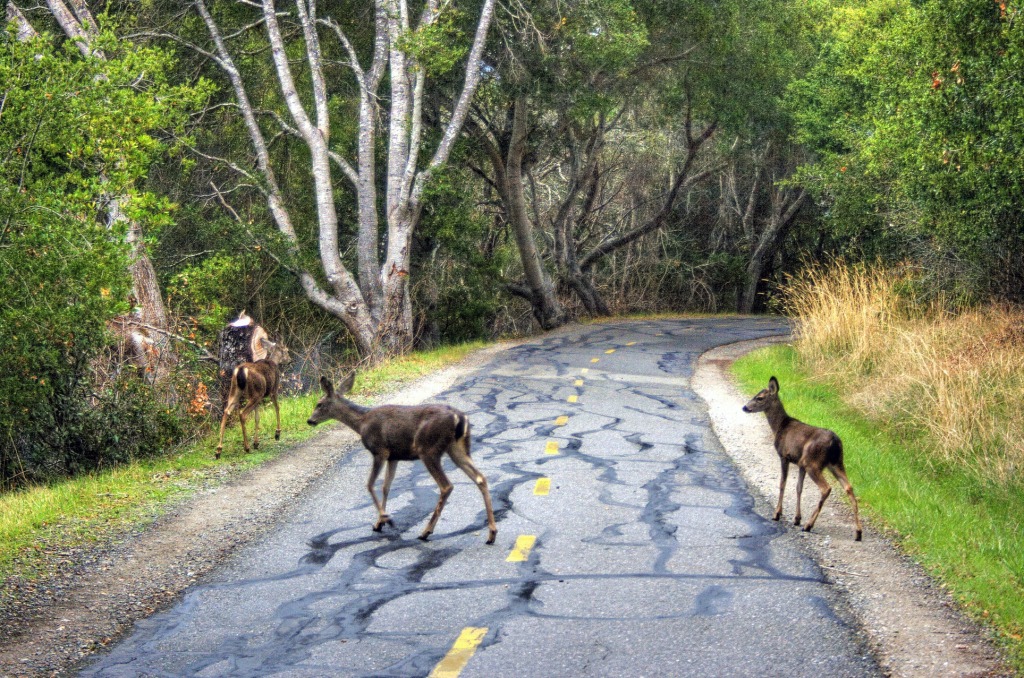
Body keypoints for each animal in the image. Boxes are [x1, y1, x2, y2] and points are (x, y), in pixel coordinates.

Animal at [305, 376, 497, 548]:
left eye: (319, 404)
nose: (309, 420)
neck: (362, 422)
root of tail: (460, 418)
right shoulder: (393, 456)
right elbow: (386, 487)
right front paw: (379, 523)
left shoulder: (380, 450)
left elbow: (370, 485)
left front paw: (387, 520)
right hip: (457, 447)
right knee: (480, 478)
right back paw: (491, 534)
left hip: (428, 449)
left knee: (446, 486)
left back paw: (426, 532)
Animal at [745, 376, 864, 540]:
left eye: (760, 398)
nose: (745, 407)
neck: (779, 427)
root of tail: (835, 442)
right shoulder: (799, 463)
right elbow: (798, 488)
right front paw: (796, 518)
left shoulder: (784, 455)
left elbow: (782, 484)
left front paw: (777, 514)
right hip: (836, 463)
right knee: (849, 488)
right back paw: (858, 532)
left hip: (812, 462)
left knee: (826, 488)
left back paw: (808, 525)